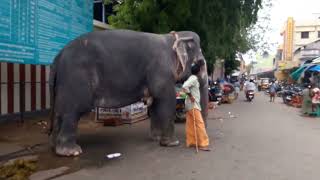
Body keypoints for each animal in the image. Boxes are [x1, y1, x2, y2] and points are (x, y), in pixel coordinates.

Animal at [48, 29, 209, 156]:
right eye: (200, 63)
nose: (204, 145)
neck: (172, 38)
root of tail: (58, 56)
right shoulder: (161, 70)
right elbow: (165, 100)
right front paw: (171, 144)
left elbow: (155, 103)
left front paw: (156, 139)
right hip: (76, 80)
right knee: (72, 111)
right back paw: (71, 151)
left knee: (60, 113)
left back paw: (56, 148)